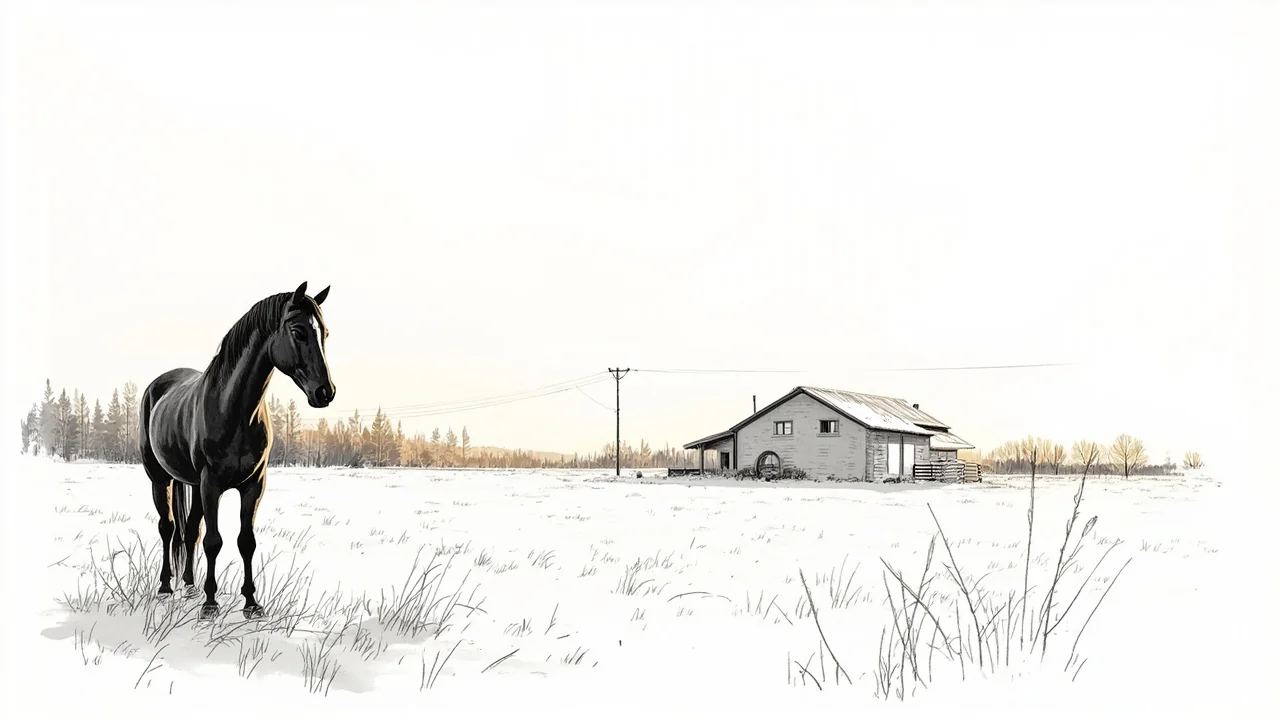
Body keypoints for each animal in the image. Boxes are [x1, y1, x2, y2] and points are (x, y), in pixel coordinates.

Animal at [139, 281, 336, 621]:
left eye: (324, 332)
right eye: (298, 331)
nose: (325, 392)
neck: (234, 409)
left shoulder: (253, 485)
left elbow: (246, 541)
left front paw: (251, 603)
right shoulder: (211, 484)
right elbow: (214, 541)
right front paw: (210, 604)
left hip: (192, 484)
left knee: (190, 530)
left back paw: (189, 585)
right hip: (160, 479)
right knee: (168, 527)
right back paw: (166, 587)